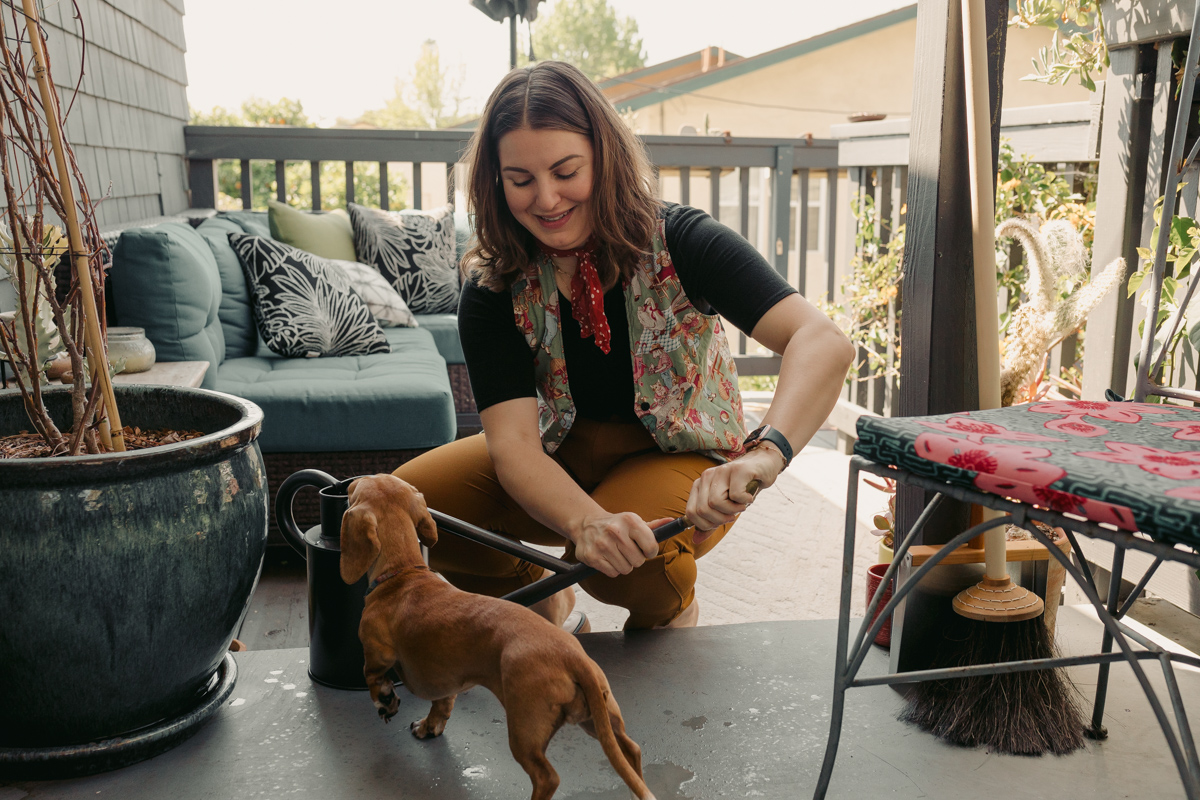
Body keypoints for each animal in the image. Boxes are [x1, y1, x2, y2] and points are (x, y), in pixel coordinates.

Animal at [341, 474, 656, 800]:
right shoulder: (447, 682)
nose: (351, 481)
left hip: (525, 729)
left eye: (354, 489)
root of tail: (573, 658)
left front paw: (385, 700)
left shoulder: (376, 652)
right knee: (631, 750)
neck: (403, 574)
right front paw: (429, 725)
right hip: (600, 717)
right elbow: (441, 706)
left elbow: (372, 677)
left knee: (547, 777)